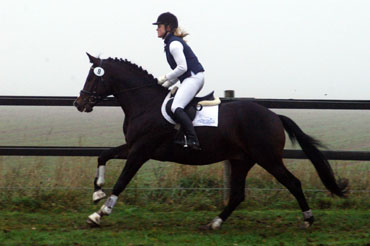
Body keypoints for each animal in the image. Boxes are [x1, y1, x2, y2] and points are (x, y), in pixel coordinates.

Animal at [74, 52, 346, 230]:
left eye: (93, 77)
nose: (79, 103)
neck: (145, 104)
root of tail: (273, 115)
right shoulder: (133, 147)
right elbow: (103, 155)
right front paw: (97, 192)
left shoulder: (141, 151)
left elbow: (122, 181)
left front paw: (99, 213)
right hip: (241, 160)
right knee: (237, 195)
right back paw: (215, 222)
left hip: (267, 158)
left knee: (293, 183)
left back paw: (308, 219)